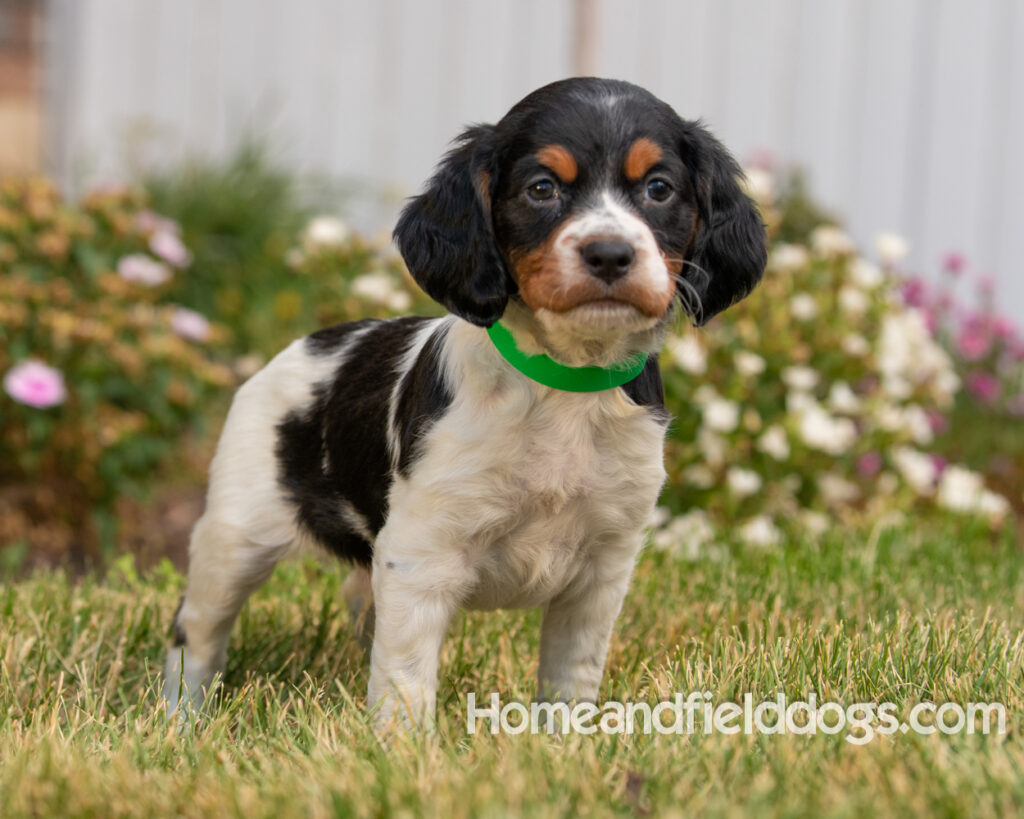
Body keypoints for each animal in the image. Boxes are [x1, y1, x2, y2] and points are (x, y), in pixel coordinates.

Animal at [161, 79, 770, 724]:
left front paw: (567, 737)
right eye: (541, 189)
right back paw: (181, 718)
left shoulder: (604, 565)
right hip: (234, 537)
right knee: (194, 633)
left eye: (659, 189)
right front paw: (401, 745)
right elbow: (405, 679)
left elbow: (571, 673)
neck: (563, 382)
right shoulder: (422, 554)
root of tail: (307, 342)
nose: (609, 254)